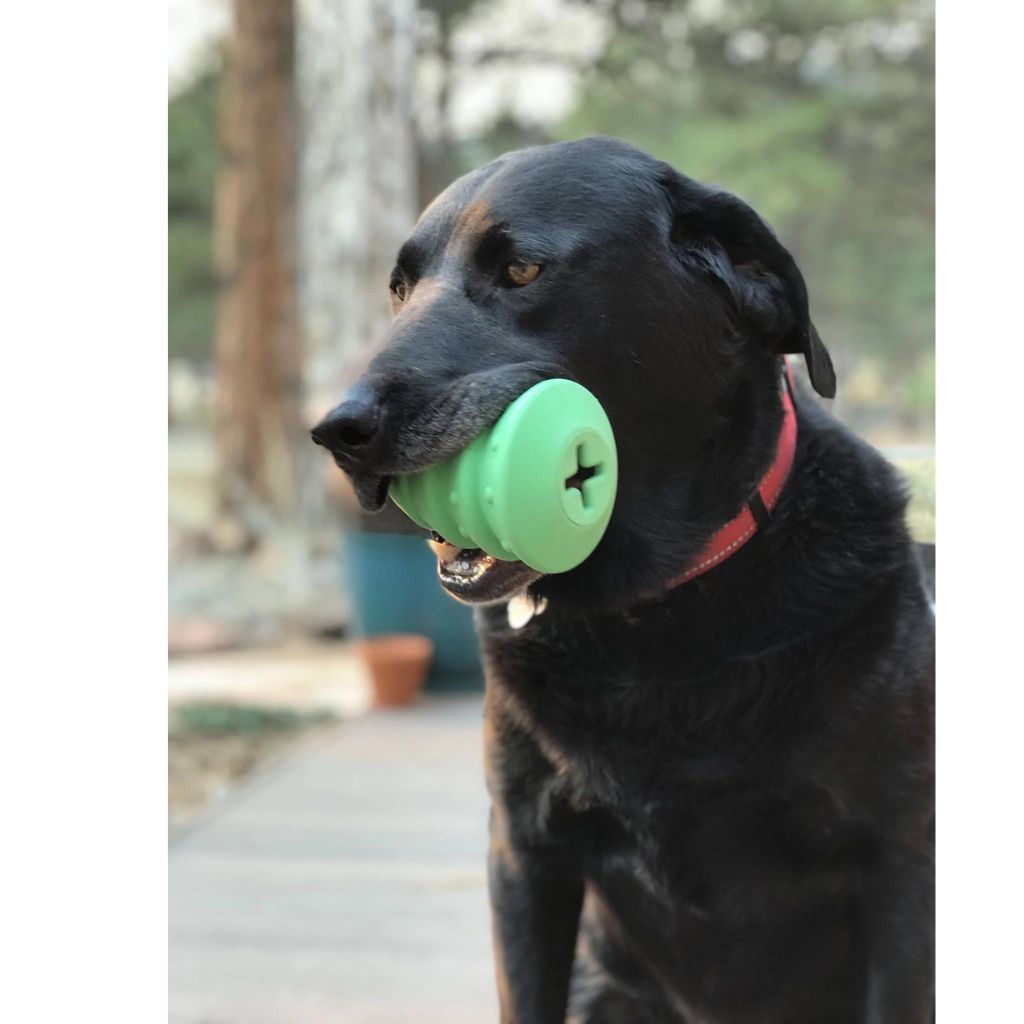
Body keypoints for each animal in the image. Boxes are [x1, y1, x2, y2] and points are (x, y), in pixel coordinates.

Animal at [311, 138, 937, 1024]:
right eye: (400, 288)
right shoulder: (527, 855)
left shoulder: (900, 869)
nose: (338, 431)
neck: (654, 619)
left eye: (523, 270)